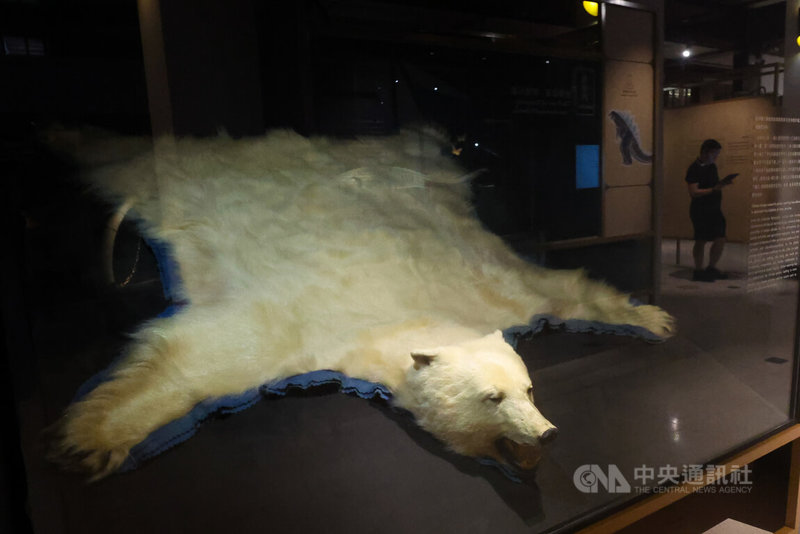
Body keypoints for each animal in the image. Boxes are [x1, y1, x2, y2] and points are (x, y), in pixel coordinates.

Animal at [48, 127, 674, 480]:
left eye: (530, 389)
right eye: (492, 398)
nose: (546, 434)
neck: (405, 305)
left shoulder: (483, 284)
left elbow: (561, 290)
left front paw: (653, 317)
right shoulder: (299, 316)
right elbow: (205, 358)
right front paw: (89, 441)